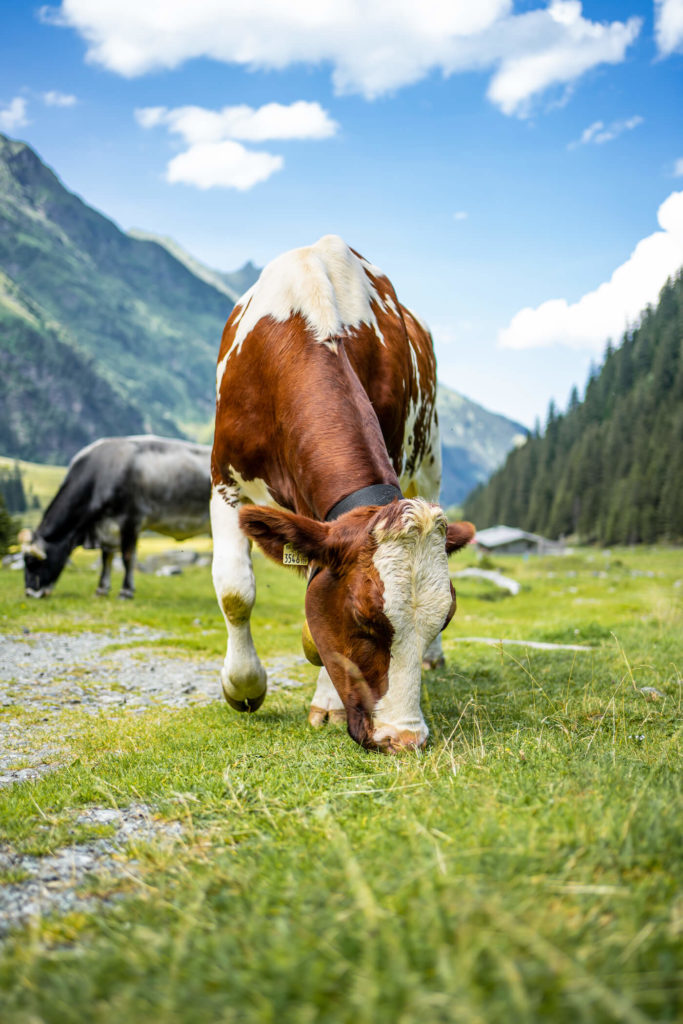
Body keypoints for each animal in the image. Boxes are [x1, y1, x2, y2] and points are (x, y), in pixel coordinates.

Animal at [21, 434, 210, 598]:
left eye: (32, 562)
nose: (29, 593)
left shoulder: (130, 520)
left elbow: (127, 557)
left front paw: (126, 591)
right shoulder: (106, 527)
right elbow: (106, 558)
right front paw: (101, 590)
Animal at [210, 235, 473, 757]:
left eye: (445, 618)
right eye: (363, 618)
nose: (403, 739)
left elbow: (315, 624)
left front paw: (326, 702)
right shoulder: (223, 479)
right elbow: (234, 591)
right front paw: (244, 686)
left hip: (430, 459)